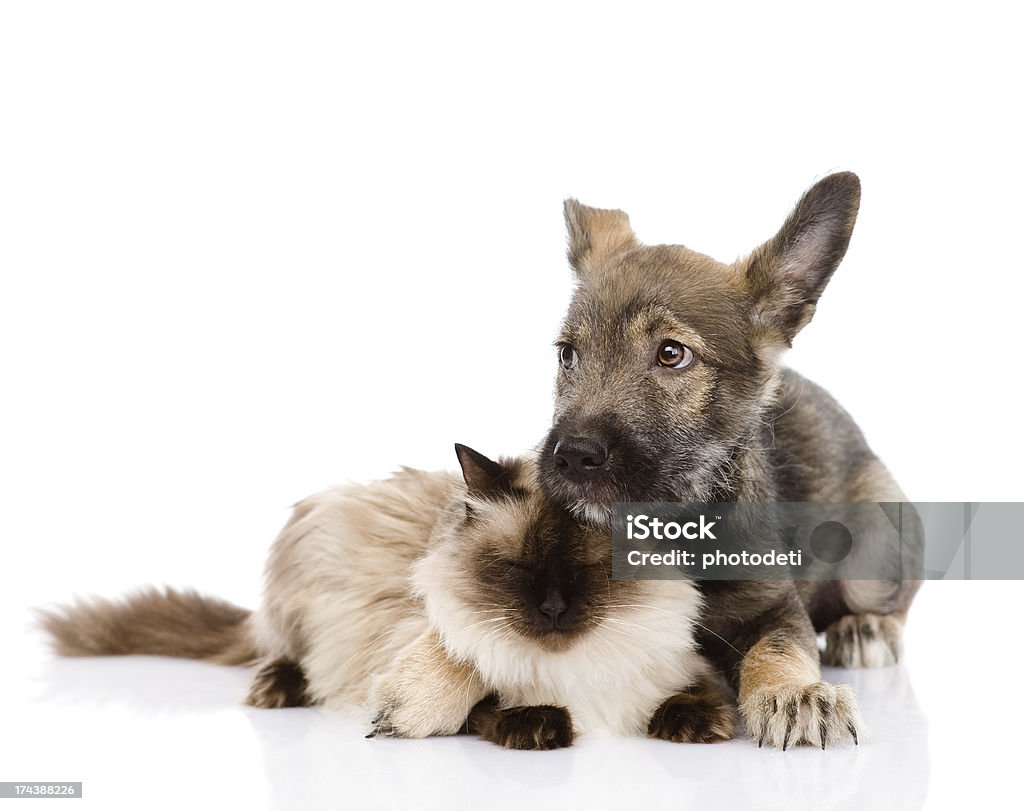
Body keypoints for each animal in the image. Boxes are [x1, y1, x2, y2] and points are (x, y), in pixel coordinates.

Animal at [37, 446, 729, 749]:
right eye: (514, 568)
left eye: (588, 572)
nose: (552, 610)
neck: (578, 667)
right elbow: (485, 706)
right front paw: (537, 725)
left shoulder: (672, 670)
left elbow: (689, 698)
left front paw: (697, 725)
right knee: (281, 654)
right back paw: (278, 689)